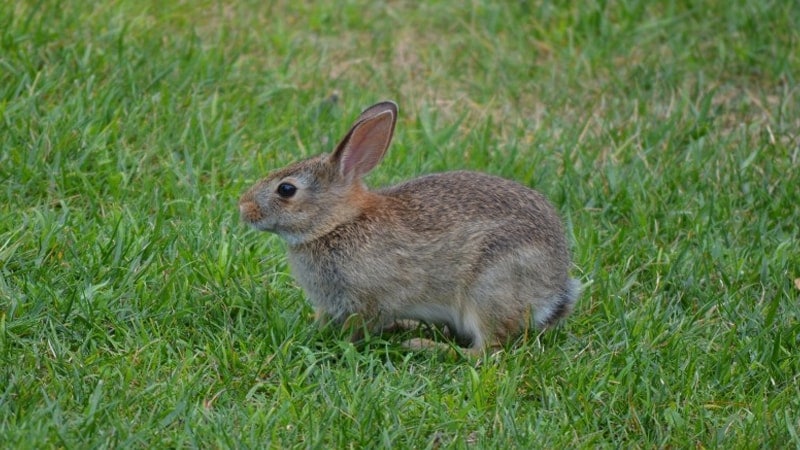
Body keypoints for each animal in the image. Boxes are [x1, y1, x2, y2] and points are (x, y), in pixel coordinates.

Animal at [239, 101, 580, 356]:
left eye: (286, 190)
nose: (243, 207)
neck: (337, 223)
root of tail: (554, 290)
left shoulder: (368, 300)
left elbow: (356, 328)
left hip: (490, 289)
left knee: (487, 350)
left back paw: (423, 345)